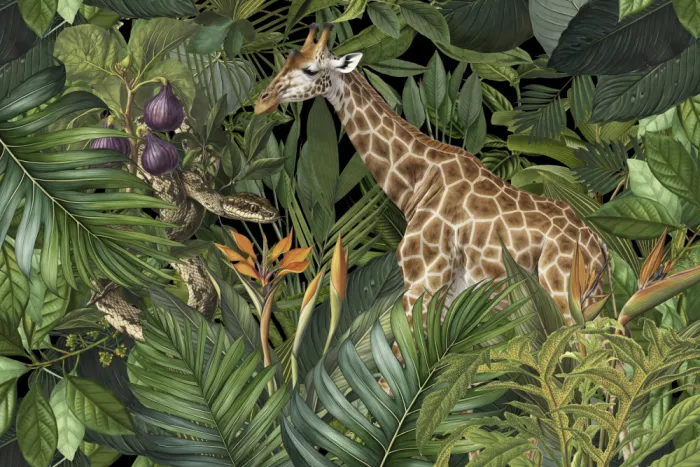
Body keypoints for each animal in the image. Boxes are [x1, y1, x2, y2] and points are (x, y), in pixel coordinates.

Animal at [254, 23, 607, 331]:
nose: (261, 102)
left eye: (310, 70)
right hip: (594, 301)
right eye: (287, 60)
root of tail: (601, 250)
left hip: (562, 299)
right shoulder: (449, 294)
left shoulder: (423, 280)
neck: (419, 182)